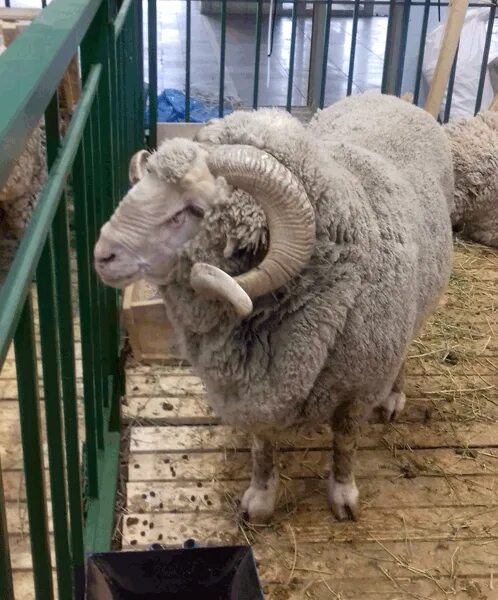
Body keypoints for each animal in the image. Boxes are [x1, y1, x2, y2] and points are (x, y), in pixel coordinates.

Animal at [94, 91, 456, 524]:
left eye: (195, 210)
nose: (102, 255)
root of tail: (390, 96)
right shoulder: (255, 390)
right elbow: (263, 443)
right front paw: (262, 496)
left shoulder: (359, 390)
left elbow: (346, 442)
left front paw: (343, 494)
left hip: (413, 315)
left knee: (405, 349)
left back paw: (395, 397)